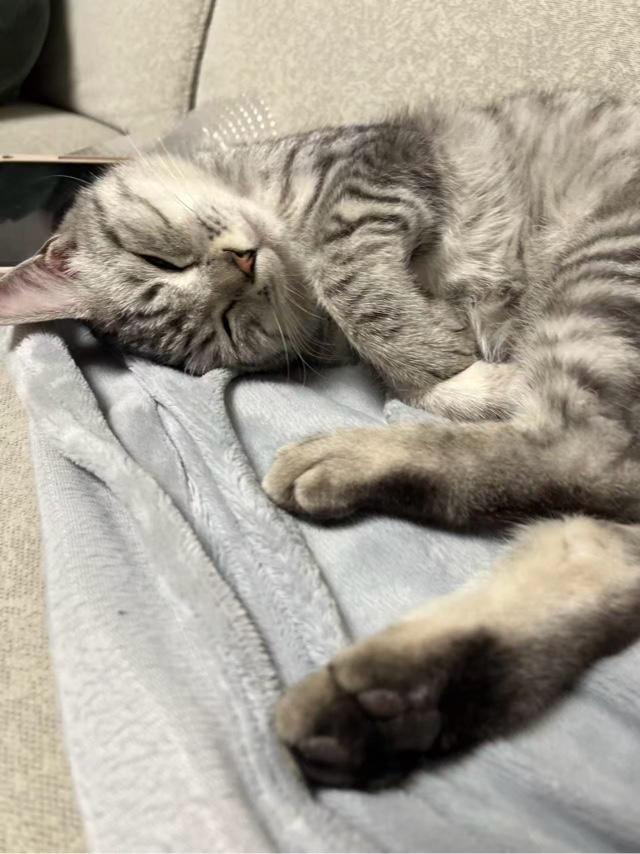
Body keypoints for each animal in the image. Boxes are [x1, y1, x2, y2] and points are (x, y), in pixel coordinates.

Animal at [3, 88, 640, 788]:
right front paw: (453, 369)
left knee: (594, 455)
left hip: (603, 249)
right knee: (591, 484)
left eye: (159, 260)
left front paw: (440, 355)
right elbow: (401, 358)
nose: (242, 265)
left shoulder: (371, 167)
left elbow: (351, 277)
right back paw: (374, 701)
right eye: (227, 326)